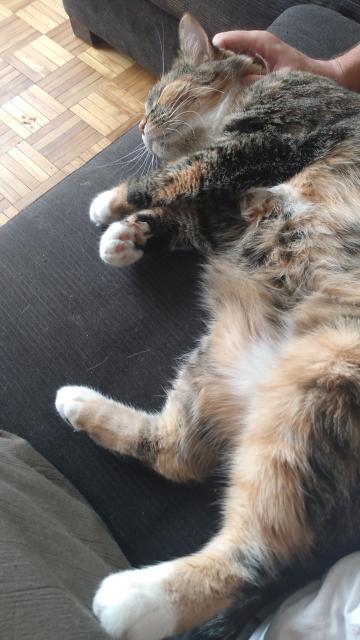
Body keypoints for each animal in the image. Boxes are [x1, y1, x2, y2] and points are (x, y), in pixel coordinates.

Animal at [54, 11, 360, 640]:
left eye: (156, 98)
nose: (140, 125)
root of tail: (259, 389)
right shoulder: (227, 210)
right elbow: (186, 211)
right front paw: (126, 237)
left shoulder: (265, 142)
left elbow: (182, 172)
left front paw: (109, 203)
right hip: (210, 363)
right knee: (176, 455)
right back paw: (75, 402)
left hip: (325, 382)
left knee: (258, 557)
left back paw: (130, 599)